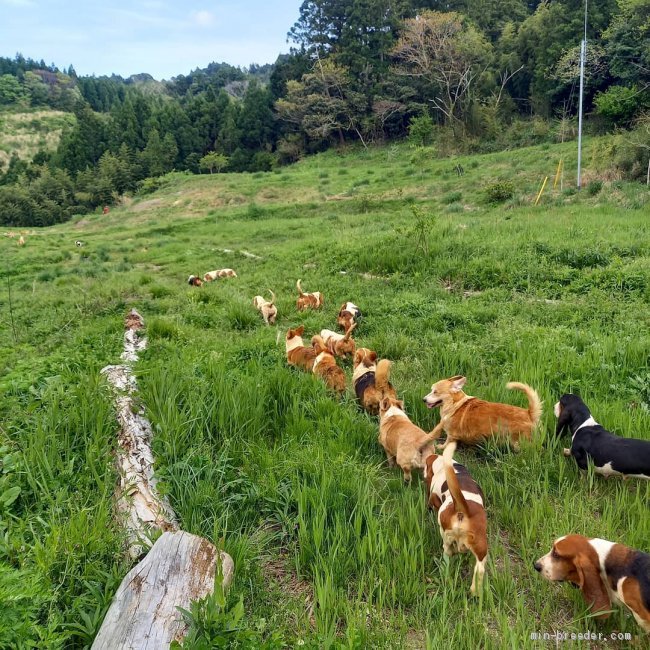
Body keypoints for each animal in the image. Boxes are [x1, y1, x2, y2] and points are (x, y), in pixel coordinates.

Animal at [420, 442, 486, 596]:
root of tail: (463, 508)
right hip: (481, 546)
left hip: (445, 533)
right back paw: (474, 591)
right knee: (480, 569)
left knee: (447, 550)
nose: (422, 471)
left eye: (426, 465)